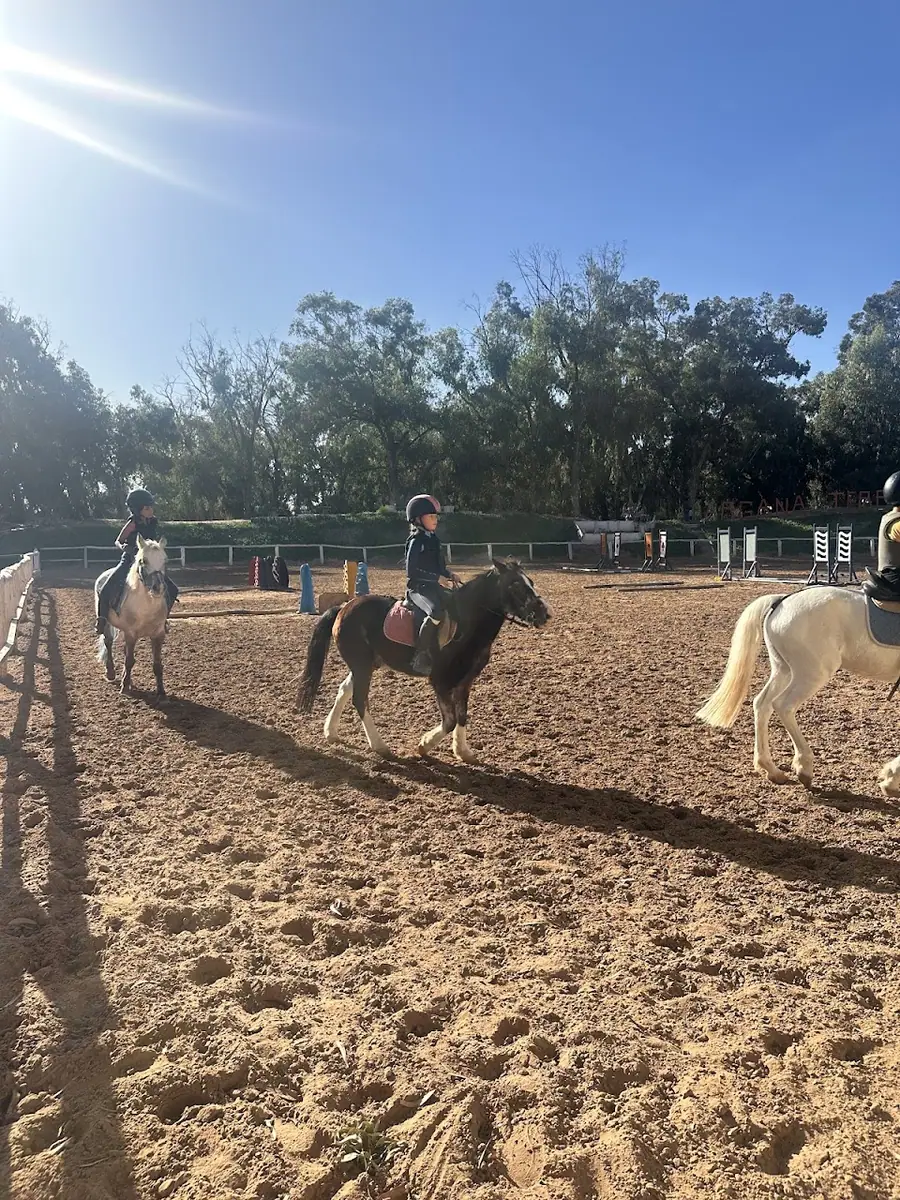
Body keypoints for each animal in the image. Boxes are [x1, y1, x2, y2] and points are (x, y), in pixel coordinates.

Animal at [94, 535, 170, 700]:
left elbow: (157, 664)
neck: (146, 607)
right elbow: (129, 661)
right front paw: (125, 687)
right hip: (107, 624)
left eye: (165, 560)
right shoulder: (131, 634)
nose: (158, 588)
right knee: (108, 642)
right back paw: (111, 673)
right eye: (143, 560)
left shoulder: (158, 634)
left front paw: (161, 692)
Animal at [297, 558, 550, 761]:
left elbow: (462, 715)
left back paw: (331, 732)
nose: (544, 614)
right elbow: (449, 720)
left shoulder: (465, 681)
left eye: (530, 582)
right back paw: (380, 746)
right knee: (359, 699)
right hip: (361, 665)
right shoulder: (440, 681)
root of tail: (343, 608)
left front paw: (463, 751)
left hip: (367, 664)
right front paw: (424, 745)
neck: (468, 624)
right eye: (514, 584)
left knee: (344, 689)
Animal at [696, 586, 900, 797]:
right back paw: (804, 767)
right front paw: (891, 779)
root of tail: (782, 600)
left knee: (762, 704)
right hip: (812, 673)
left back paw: (772, 770)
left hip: (783, 670)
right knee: (783, 705)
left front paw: (890, 779)